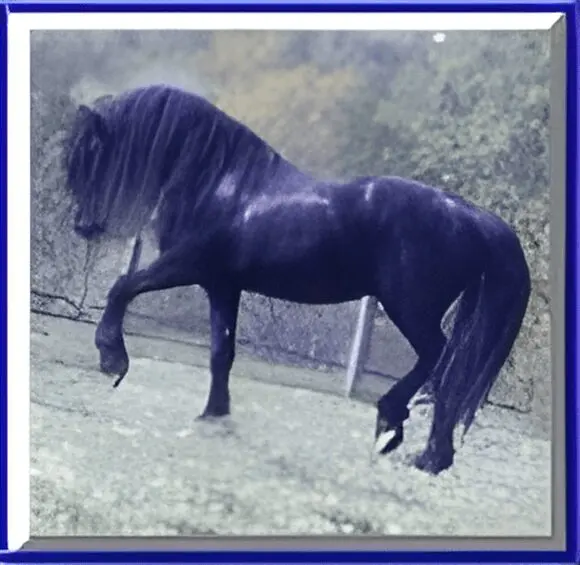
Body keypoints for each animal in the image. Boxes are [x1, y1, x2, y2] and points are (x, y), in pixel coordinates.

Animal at [62, 81, 532, 474]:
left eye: (91, 153)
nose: (84, 226)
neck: (221, 184)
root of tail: (471, 216)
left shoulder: (185, 266)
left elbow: (121, 288)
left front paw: (113, 359)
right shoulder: (221, 285)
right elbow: (221, 353)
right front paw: (215, 414)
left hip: (409, 307)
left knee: (437, 357)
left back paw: (395, 427)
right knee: (445, 371)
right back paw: (430, 457)